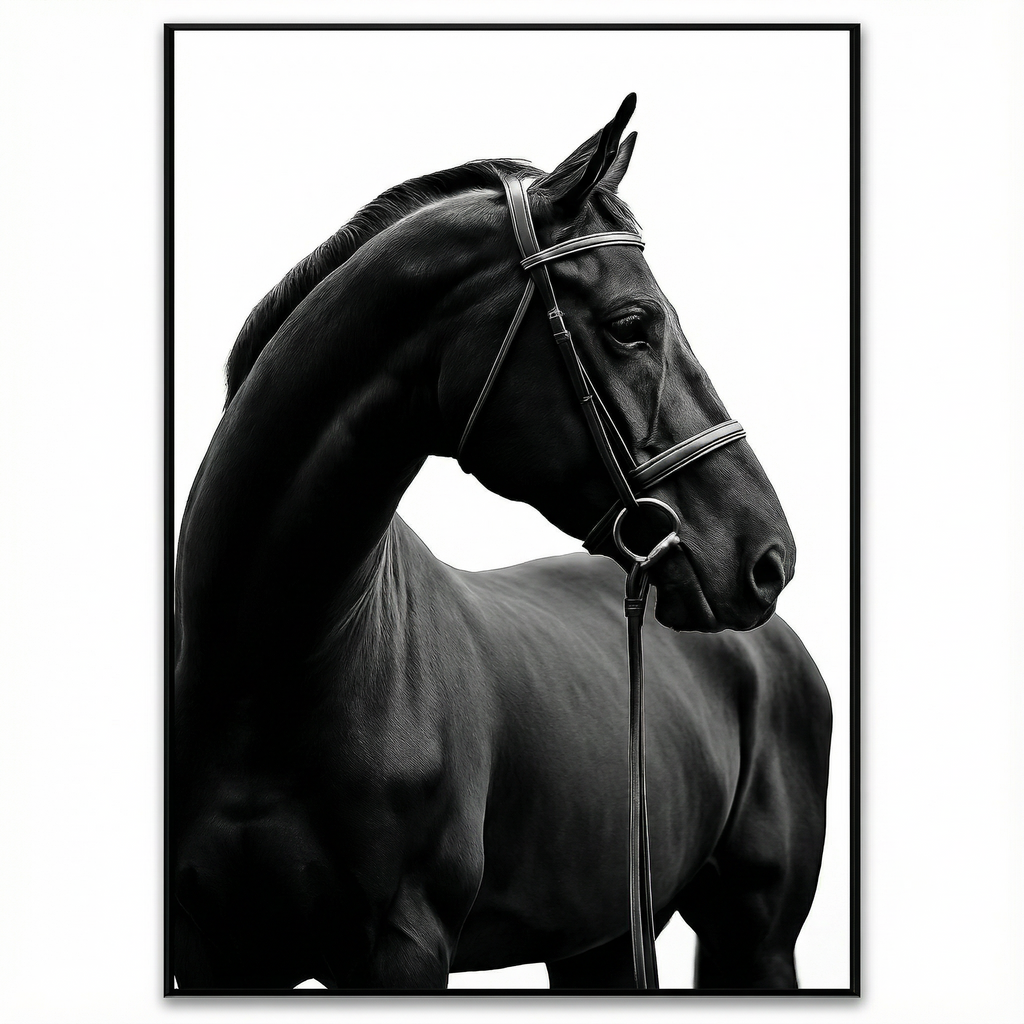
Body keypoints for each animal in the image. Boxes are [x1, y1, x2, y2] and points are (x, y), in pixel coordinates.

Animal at [171, 95, 832, 992]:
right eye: (632, 324)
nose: (768, 556)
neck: (264, 669)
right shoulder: (217, 954)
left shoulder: (402, 949)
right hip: (601, 941)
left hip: (756, 938)